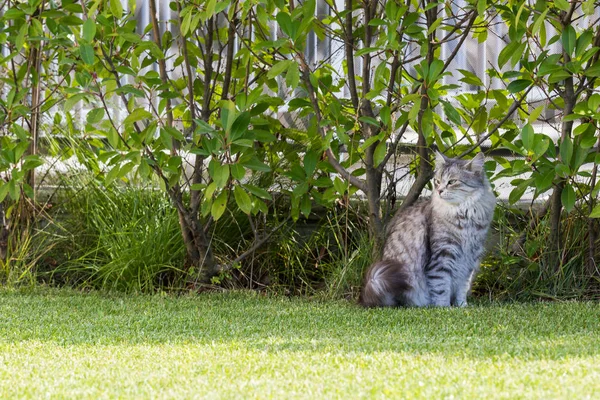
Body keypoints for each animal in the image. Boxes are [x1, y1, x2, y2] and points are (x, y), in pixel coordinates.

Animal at [358, 152, 494, 308]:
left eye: (452, 182)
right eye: (437, 181)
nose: (439, 191)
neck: (464, 215)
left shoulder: (469, 259)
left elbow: (462, 289)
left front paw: (462, 306)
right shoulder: (443, 255)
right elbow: (441, 286)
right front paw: (444, 308)